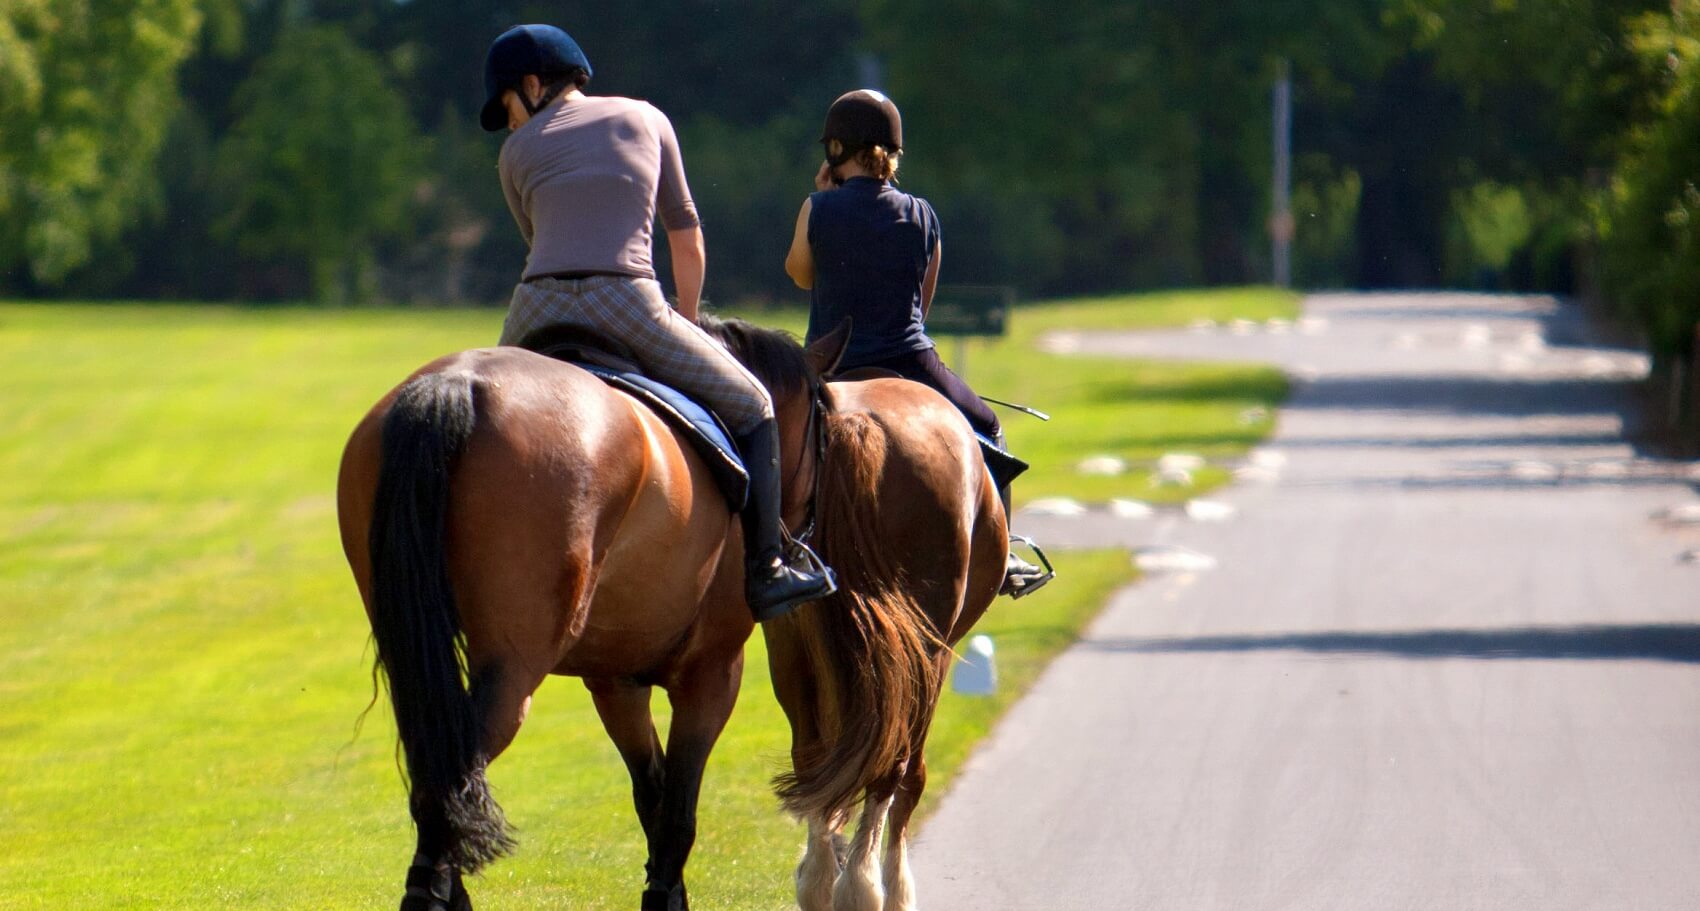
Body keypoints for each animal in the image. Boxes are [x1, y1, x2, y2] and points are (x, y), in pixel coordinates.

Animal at [334, 316, 850, 904]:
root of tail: (458, 384)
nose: (806, 533)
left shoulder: (615, 682)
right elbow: (677, 810)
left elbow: (652, 796)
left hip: (416, 657)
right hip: (514, 667)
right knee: (457, 769)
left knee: (436, 774)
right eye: (823, 428)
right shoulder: (713, 673)